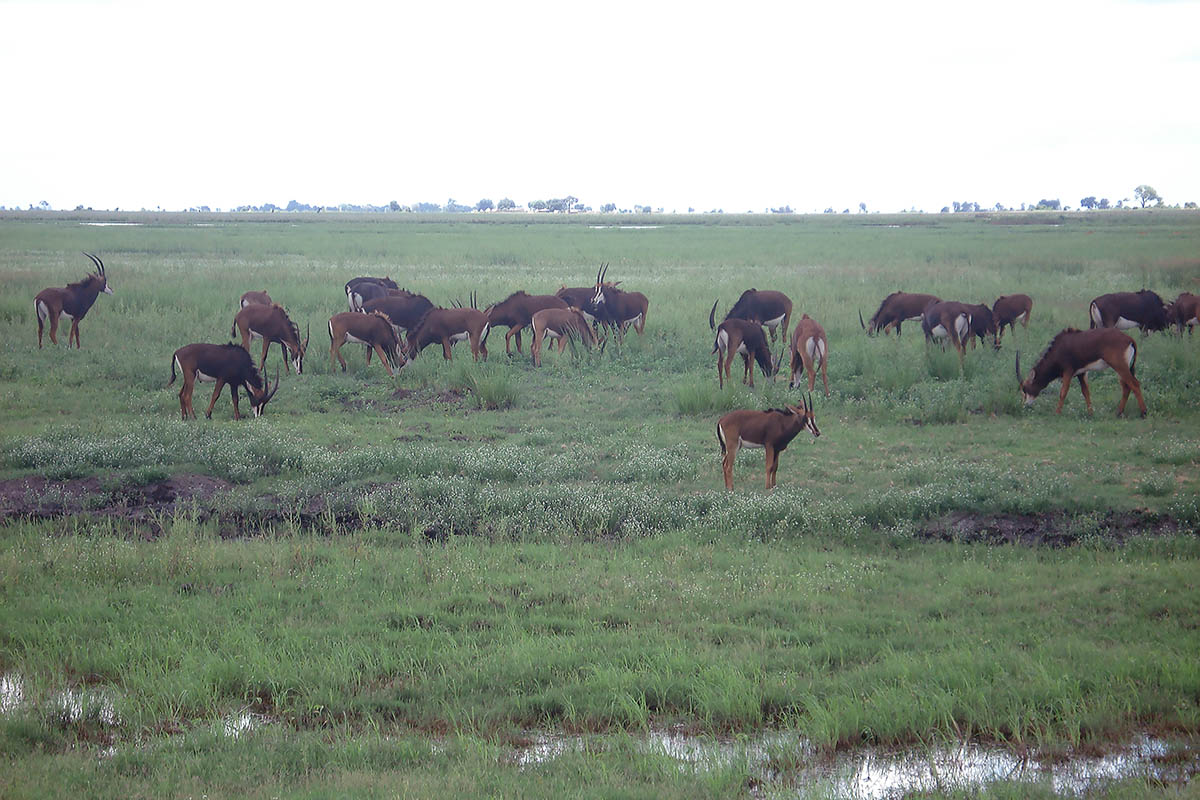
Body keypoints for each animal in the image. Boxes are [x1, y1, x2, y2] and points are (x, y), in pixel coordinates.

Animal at [1017, 326, 1147, 419]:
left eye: (1025, 389)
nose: (1024, 406)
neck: (1059, 348)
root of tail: (1130, 340)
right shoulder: (1081, 373)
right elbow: (1086, 392)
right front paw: (1090, 413)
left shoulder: (1068, 371)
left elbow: (1063, 392)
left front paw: (1057, 413)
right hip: (1124, 368)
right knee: (1127, 387)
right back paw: (1118, 413)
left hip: (1119, 366)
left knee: (1134, 384)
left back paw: (1143, 413)